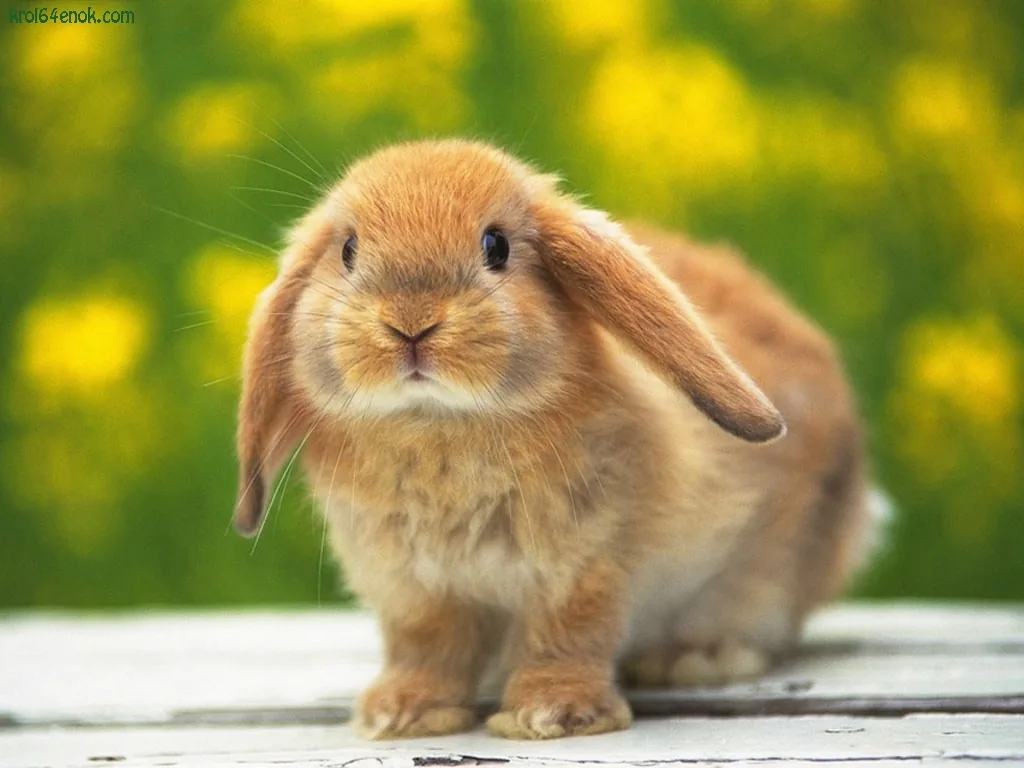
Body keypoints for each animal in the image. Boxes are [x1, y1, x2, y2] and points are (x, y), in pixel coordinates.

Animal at [232, 139, 877, 741]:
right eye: (347, 250)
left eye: (496, 246)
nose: (410, 323)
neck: (439, 423)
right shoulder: (411, 588)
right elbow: (426, 647)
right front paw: (401, 714)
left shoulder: (585, 566)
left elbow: (566, 636)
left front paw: (551, 715)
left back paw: (693, 658)